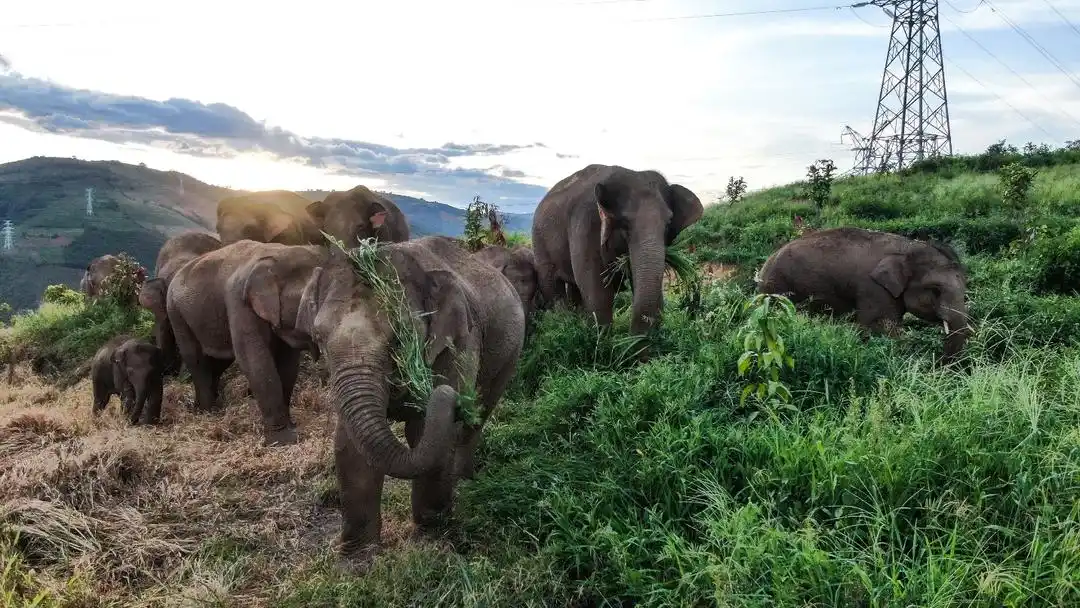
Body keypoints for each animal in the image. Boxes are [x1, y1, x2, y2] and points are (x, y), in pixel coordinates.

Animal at [166, 239, 329, 445]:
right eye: (312, 303)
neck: (281, 255)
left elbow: (288, 364)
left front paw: (291, 426)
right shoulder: (239, 301)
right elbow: (254, 360)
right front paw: (284, 440)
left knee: (219, 359)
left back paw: (210, 406)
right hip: (176, 312)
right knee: (195, 358)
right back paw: (208, 412)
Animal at [295, 235, 525, 556]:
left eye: (399, 338)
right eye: (318, 338)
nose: (452, 397)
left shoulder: (460, 341)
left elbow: (424, 429)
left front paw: (431, 531)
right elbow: (349, 444)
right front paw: (356, 553)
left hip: (511, 353)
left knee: (478, 416)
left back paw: (463, 481)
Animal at [531, 164, 704, 339]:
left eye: (668, 224)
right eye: (625, 223)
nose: (631, 337)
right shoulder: (584, 224)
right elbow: (596, 290)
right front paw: (603, 342)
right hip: (540, 244)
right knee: (553, 288)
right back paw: (563, 324)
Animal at [755, 226, 971, 364]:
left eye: (964, 285)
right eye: (935, 290)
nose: (938, 365)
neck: (908, 248)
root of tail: (763, 267)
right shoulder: (873, 289)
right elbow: (880, 328)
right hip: (776, 290)